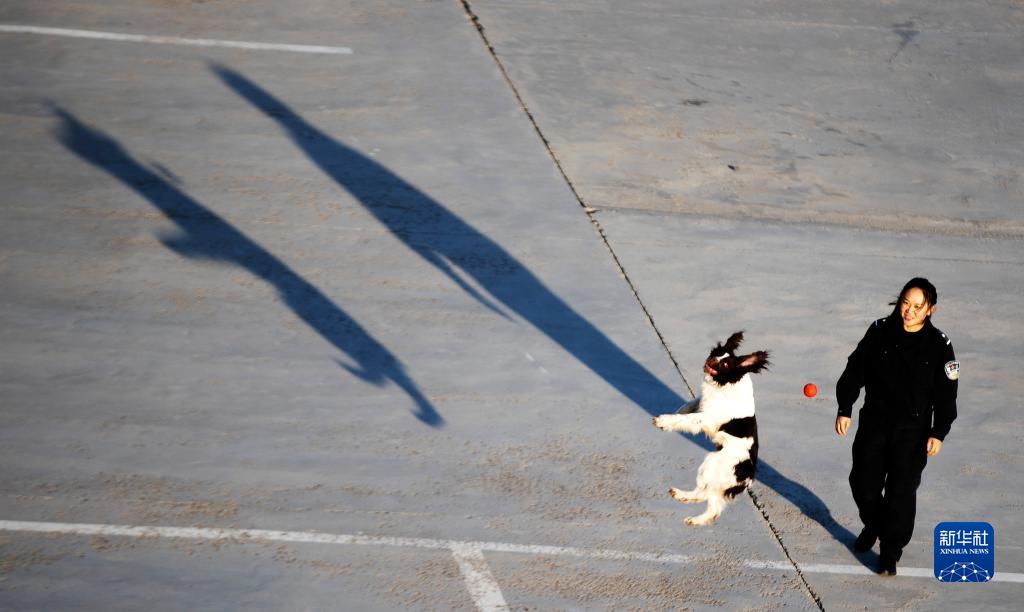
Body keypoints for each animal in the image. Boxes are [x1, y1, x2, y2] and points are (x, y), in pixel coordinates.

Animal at [653, 332, 769, 525]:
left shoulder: (708, 418)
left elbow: (688, 419)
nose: (712, 360)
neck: (725, 383)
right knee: (708, 502)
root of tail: (747, 478)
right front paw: (675, 413)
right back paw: (686, 506)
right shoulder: (703, 404)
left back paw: (688, 510)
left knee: (707, 500)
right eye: (716, 352)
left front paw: (664, 421)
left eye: (725, 364)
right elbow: (689, 405)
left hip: (711, 464)